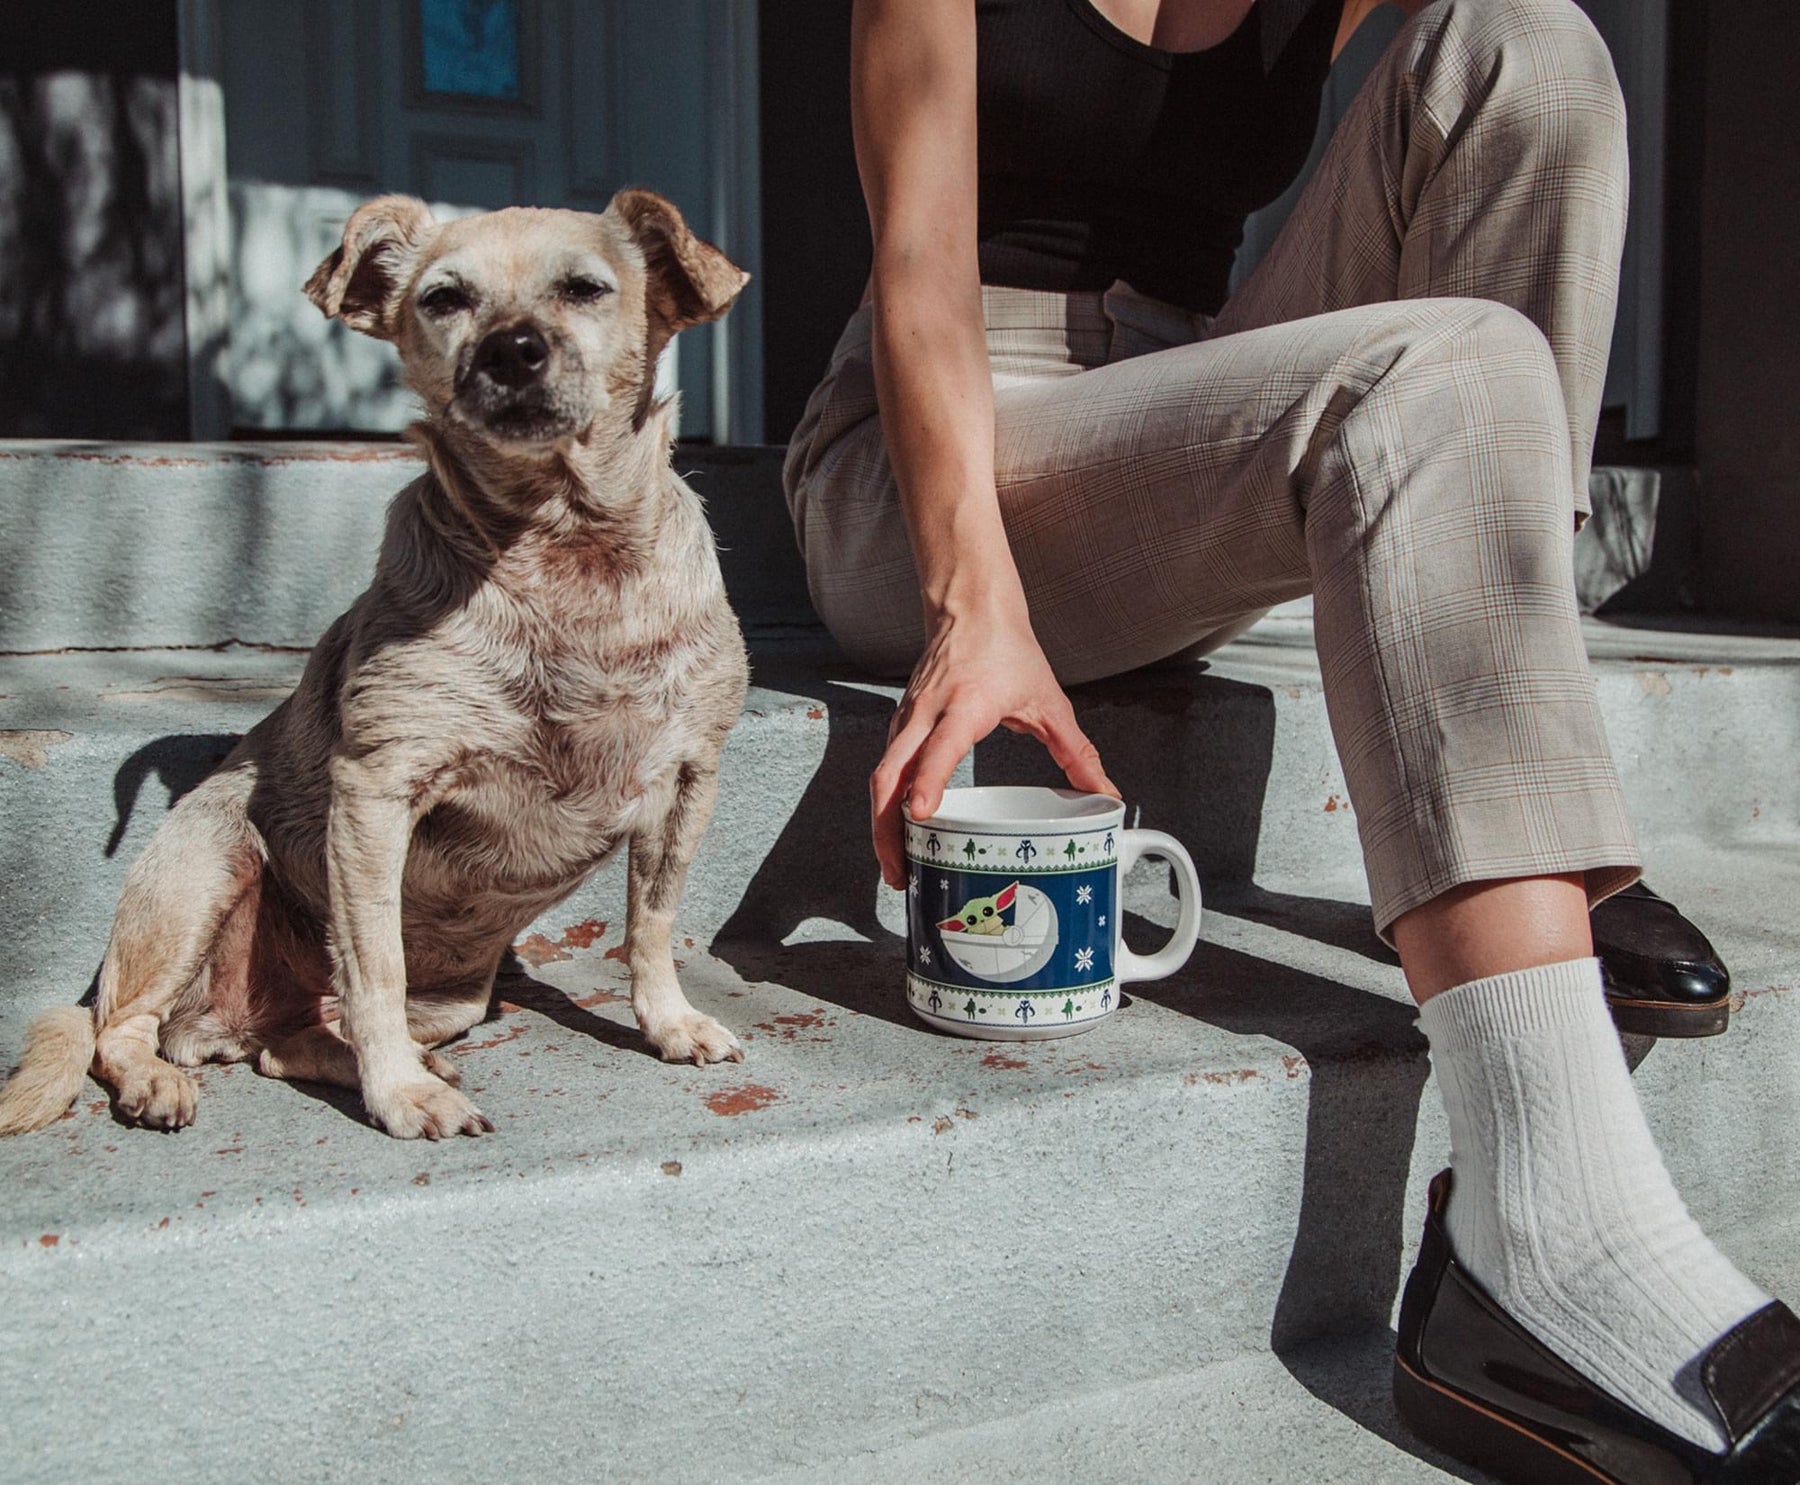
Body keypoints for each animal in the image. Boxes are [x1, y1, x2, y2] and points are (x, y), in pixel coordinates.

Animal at [0, 190, 752, 1144]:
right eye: (444, 299)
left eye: (585, 288)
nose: (511, 347)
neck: (562, 542)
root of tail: (229, 1018)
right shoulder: (375, 792)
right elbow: (376, 964)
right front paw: (400, 1096)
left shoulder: (689, 780)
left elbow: (650, 921)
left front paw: (670, 1022)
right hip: (201, 871)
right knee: (124, 1026)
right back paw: (166, 1081)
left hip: (455, 998)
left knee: (287, 1043)